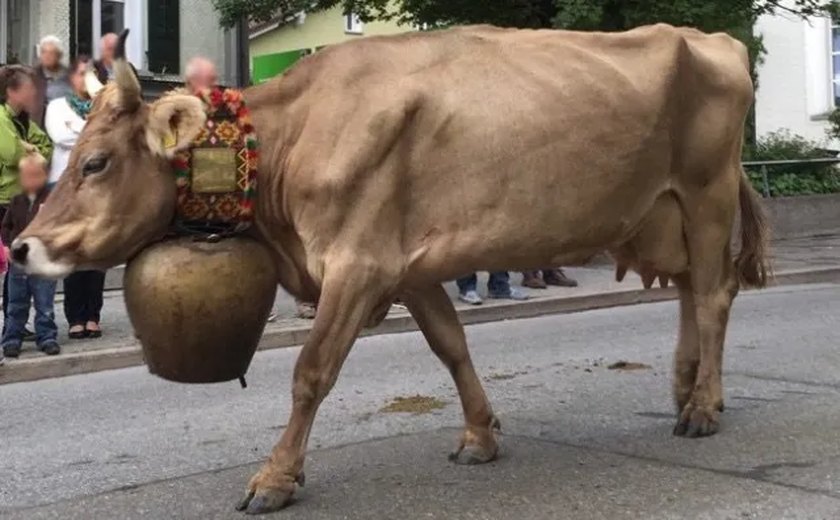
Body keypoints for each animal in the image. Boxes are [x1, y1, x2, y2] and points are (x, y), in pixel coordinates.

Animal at [18, 26, 768, 512]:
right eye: (76, 155)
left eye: (96, 163)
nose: (22, 247)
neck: (290, 139)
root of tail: (713, 39)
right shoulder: (409, 265)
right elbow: (451, 345)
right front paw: (480, 434)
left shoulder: (359, 262)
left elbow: (311, 372)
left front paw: (275, 478)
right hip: (663, 214)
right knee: (690, 291)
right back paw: (685, 388)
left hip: (705, 196)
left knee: (714, 295)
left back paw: (702, 407)